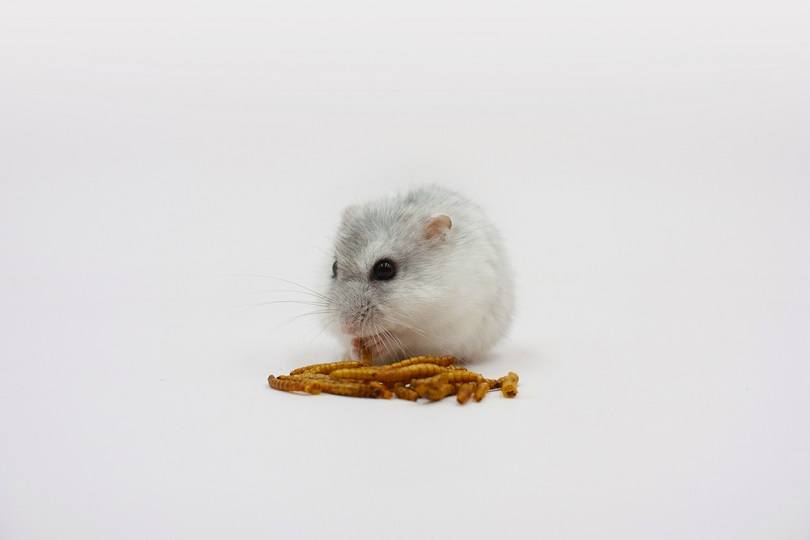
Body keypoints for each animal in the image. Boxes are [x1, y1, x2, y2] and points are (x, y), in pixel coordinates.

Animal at [324, 185, 514, 364]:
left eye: (384, 269)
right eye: (334, 267)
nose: (346, 326)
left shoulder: (443, 324)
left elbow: (405, 338)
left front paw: (379, 343)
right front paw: (353, 346)